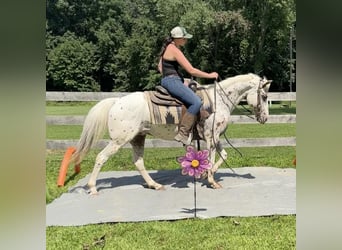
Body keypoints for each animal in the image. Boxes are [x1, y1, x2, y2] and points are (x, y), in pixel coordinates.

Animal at [71, 73, 272, 194]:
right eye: (264, 96)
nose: (265, 118)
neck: (218, 101)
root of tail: (116, 102)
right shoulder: (211, 136)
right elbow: (213, 157)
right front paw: (212, 181)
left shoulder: (214, 137)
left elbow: (223, 155)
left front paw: (205, 176)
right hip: (119, 140)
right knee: (101, 157)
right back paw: (92, 188)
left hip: (137, 138)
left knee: (138, 162)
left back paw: (155, 184)